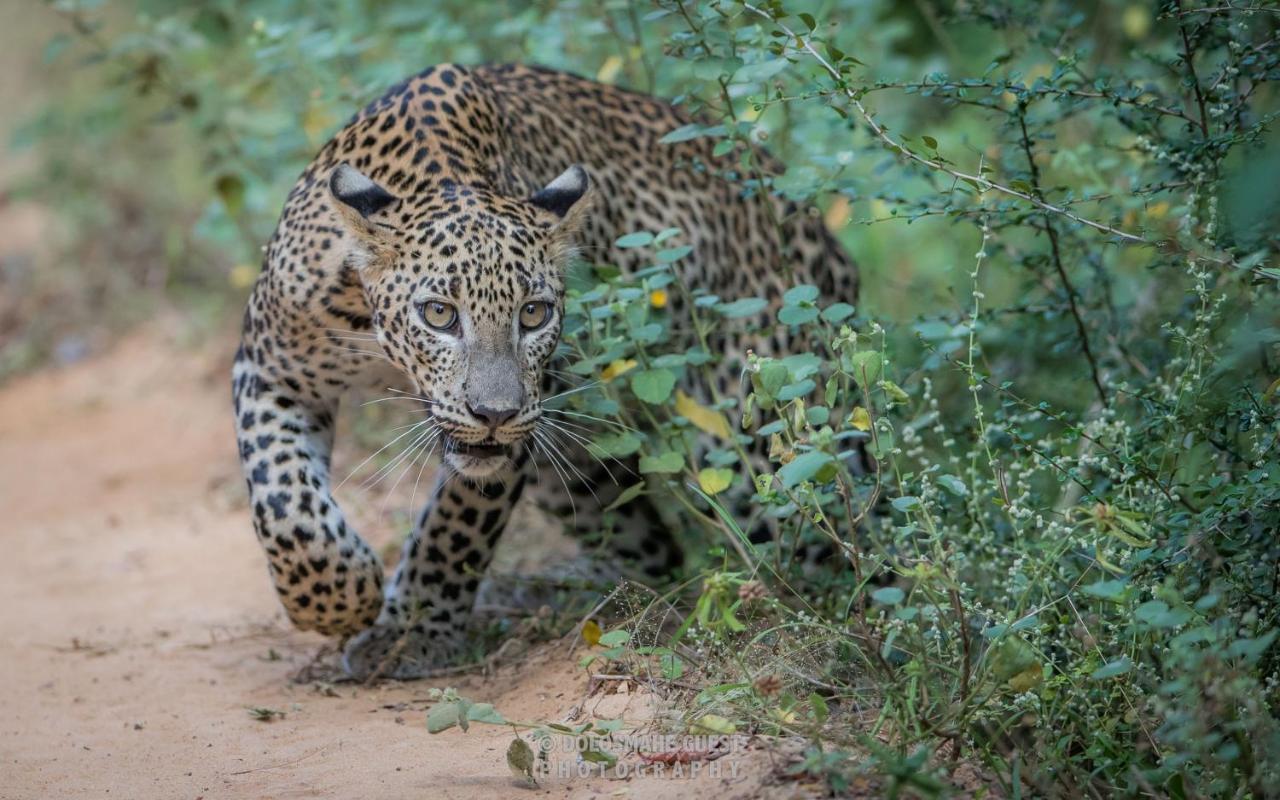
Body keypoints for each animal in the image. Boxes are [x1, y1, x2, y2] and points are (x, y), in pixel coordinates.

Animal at [232, 62, 860, 675]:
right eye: (439, 313)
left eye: (533, 314)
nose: (493, 413)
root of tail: (809, 223)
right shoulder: (270, 369)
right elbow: (285, 507)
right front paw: (343, 600)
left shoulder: (523, 418)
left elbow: (453, 529)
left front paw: (410, 633)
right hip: (577, 471)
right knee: (646, 539)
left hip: (757, 437)